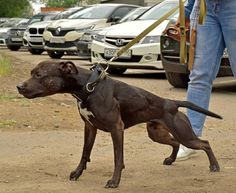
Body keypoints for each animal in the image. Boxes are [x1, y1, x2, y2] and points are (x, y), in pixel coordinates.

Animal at [17, 61, 221, 188]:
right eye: (31, 73)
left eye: (39, 75)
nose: (19, 86)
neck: (89, 87)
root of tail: (171, 103)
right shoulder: (89, 128)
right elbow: (85, 153)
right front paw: (77, 173)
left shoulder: (116, 128)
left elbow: (117, 157)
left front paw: (114, 181)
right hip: (156, 133)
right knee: (175, 143)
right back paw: (171, 160)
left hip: (184, 134)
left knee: (205, 143)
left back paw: (214, 167)